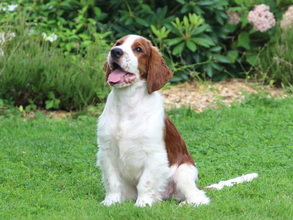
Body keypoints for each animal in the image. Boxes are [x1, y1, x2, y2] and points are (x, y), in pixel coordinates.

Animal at [96, 34, 210, 206]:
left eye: (138, 49)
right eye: (118, 43)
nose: (115, 51)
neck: (127, 101)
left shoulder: (154, 154)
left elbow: (146, 182)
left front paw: (143, 204)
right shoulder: (106, 151)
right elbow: (112, 181)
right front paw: (111, 202)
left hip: (184, 171)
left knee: (198, 196)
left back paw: (185, 204)